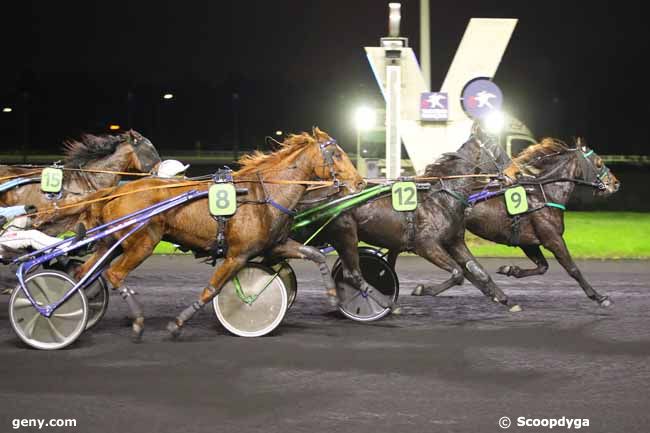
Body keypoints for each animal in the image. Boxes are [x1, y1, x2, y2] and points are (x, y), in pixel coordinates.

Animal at [34, 126, 364, 340]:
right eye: (336, 155)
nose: (359, 182)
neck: (263, 194)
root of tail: (117, 190)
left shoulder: (274, 246)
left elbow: (314, 255)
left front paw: (333, 296)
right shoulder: (236, 255)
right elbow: (211, 290)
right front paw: (178, 324)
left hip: (112, 242)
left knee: (84, 272)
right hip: (143, 242)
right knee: (114, 275)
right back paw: (135, 320)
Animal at [292, 133, 520, 312]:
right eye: (496, 149)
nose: (516, 173)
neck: (441, 197)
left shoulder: (454, 241)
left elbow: (478, 271)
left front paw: (505, 299)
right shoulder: (426, 245)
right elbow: (458, 273)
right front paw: (422, 289)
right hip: (344, 233)